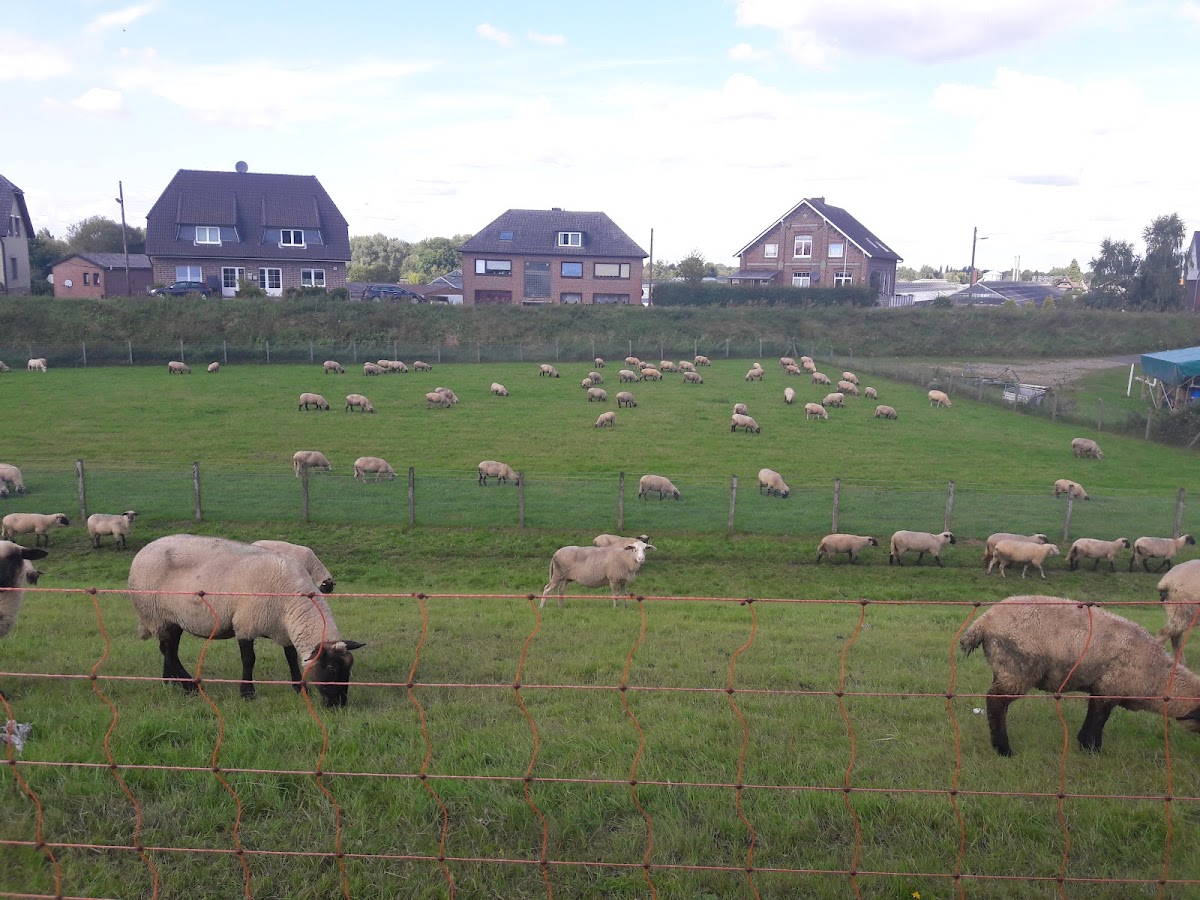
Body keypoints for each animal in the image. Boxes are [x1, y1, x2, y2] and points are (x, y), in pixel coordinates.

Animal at [127, 534, 364, 706]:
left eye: (349, 669)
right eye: (331, 668)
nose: (338, 705)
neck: (290, 602)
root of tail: (143, 551)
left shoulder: (283, 630)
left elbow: (290, 657)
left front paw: (298, 687)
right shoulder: (245, 625)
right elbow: (249, 659)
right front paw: (247, 693)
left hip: (172, 618)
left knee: (169, 648)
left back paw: (170, 681)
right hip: (156, 613)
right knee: (168, 650)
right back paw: (189, 687)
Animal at [959, 594, 1200, 755]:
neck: (1158, 676)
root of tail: (984, 622)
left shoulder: (1101, 688)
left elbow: (1094, 717)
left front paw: (1086, 745)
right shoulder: (1109, 688)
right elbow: (1098, 719)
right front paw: (1092, 748)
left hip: (1004, 669)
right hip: (1018, 670)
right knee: (995, 703)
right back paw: (1003, 749)